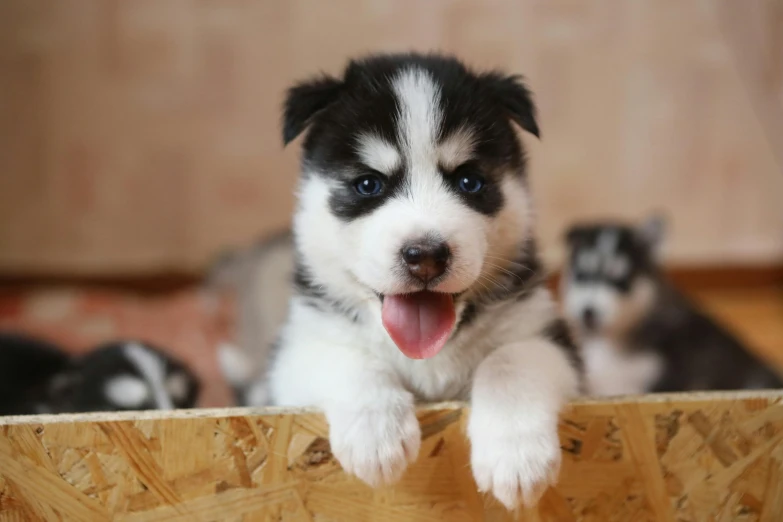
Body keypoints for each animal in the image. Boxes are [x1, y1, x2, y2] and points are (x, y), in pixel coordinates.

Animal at [264, 50, 580, 506]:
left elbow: (508, 362)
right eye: (368, 184)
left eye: (470, 181)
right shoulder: (295, 353)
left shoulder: (547, 337)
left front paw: (517, 457)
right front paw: (375, 434)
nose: (425, 256)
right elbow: (348, 357)